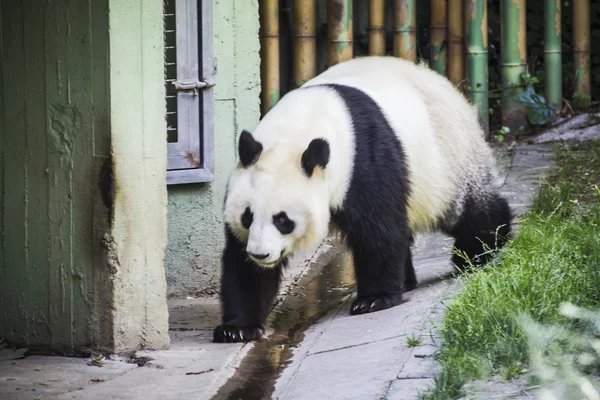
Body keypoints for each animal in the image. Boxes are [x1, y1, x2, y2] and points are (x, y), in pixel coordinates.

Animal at [213, 55, 512, 344]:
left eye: (283, 220)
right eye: (247, 217)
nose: (260, 254)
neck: (298, 129)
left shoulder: (362, 159)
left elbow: (378, 229)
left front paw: (373, 299)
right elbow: (240, 264)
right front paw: (237, 328)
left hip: (448, 155)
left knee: (469, 209)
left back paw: (480, 249)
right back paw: (408, 279)